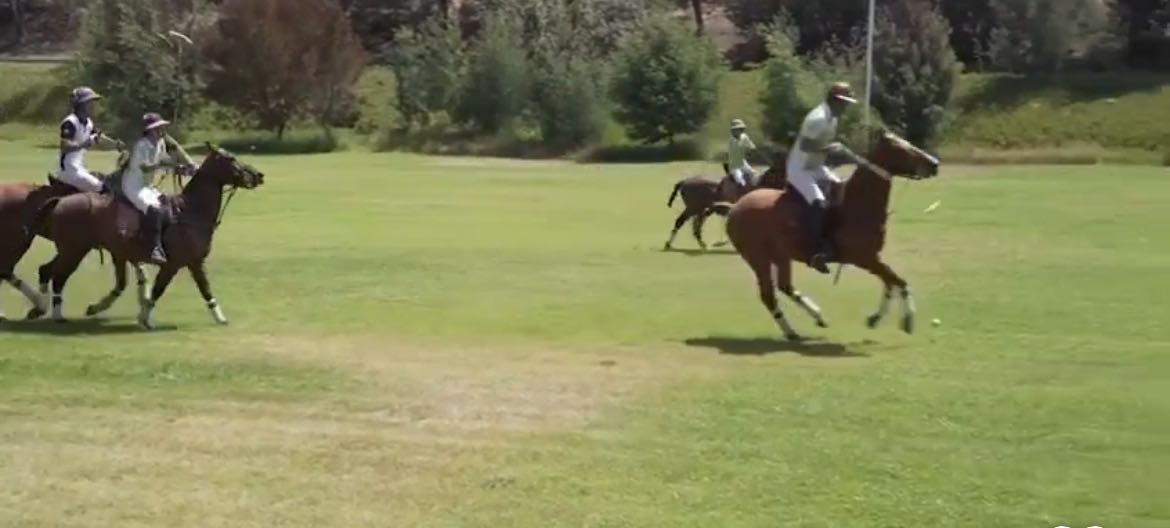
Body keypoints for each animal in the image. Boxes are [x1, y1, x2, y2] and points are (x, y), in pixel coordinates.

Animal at [24, 143, 264, 329]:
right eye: (230, 159)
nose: (258, 175)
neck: (191, 211)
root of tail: (60, 201)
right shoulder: (172, 264)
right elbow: (158, 290)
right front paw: (145, 319)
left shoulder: (195, 262)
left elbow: (206, 289)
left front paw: (221, 318)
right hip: (74, 249)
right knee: (57, 275)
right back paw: (54, 314)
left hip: (71, 249)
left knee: (47, 270)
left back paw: (40, 309)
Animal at [724, 130, 940, 341]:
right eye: (901, 148)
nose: (935, 164)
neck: (859, 204)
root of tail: (735, 207)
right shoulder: (865, 258)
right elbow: (899, 282)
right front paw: (908, 319)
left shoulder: (873, 258)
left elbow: (891, 283)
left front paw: (875, 318)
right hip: (757, 258)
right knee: (768, 295)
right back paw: (792, 331)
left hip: (781, 256)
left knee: (785, 286)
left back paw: (816, 318)